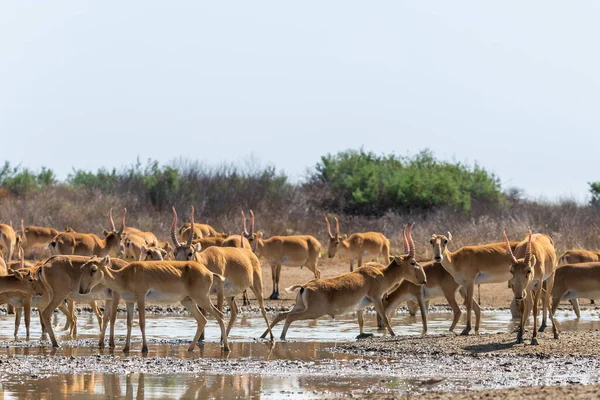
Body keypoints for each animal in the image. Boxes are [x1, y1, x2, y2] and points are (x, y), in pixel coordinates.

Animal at [79, 256, 230, 354]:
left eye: (93, 269)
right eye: (82, 267)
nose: (82, 290)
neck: (125, 276)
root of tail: (209, 272)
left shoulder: (141, 298)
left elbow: (142, 322)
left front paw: (144, 348)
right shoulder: (129, 301)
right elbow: (129, 323)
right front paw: (126, 348)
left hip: (201, 299)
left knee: (220, 315)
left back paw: (226, 348)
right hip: (188, 301)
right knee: (202, 320)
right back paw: (190, 348)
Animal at [262, 223, 426, 340]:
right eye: (412, 262)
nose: (423, 280)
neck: (381, 274)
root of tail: (304, 286)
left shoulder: (361, 306)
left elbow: (361, 321)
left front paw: (363, 334)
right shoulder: (376, 299)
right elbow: (385, 318)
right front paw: (393, 335)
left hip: (300, 306)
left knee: (282, 314)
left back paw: (266, 336)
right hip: (313, 312)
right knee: (289, 317)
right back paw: (281, 338)